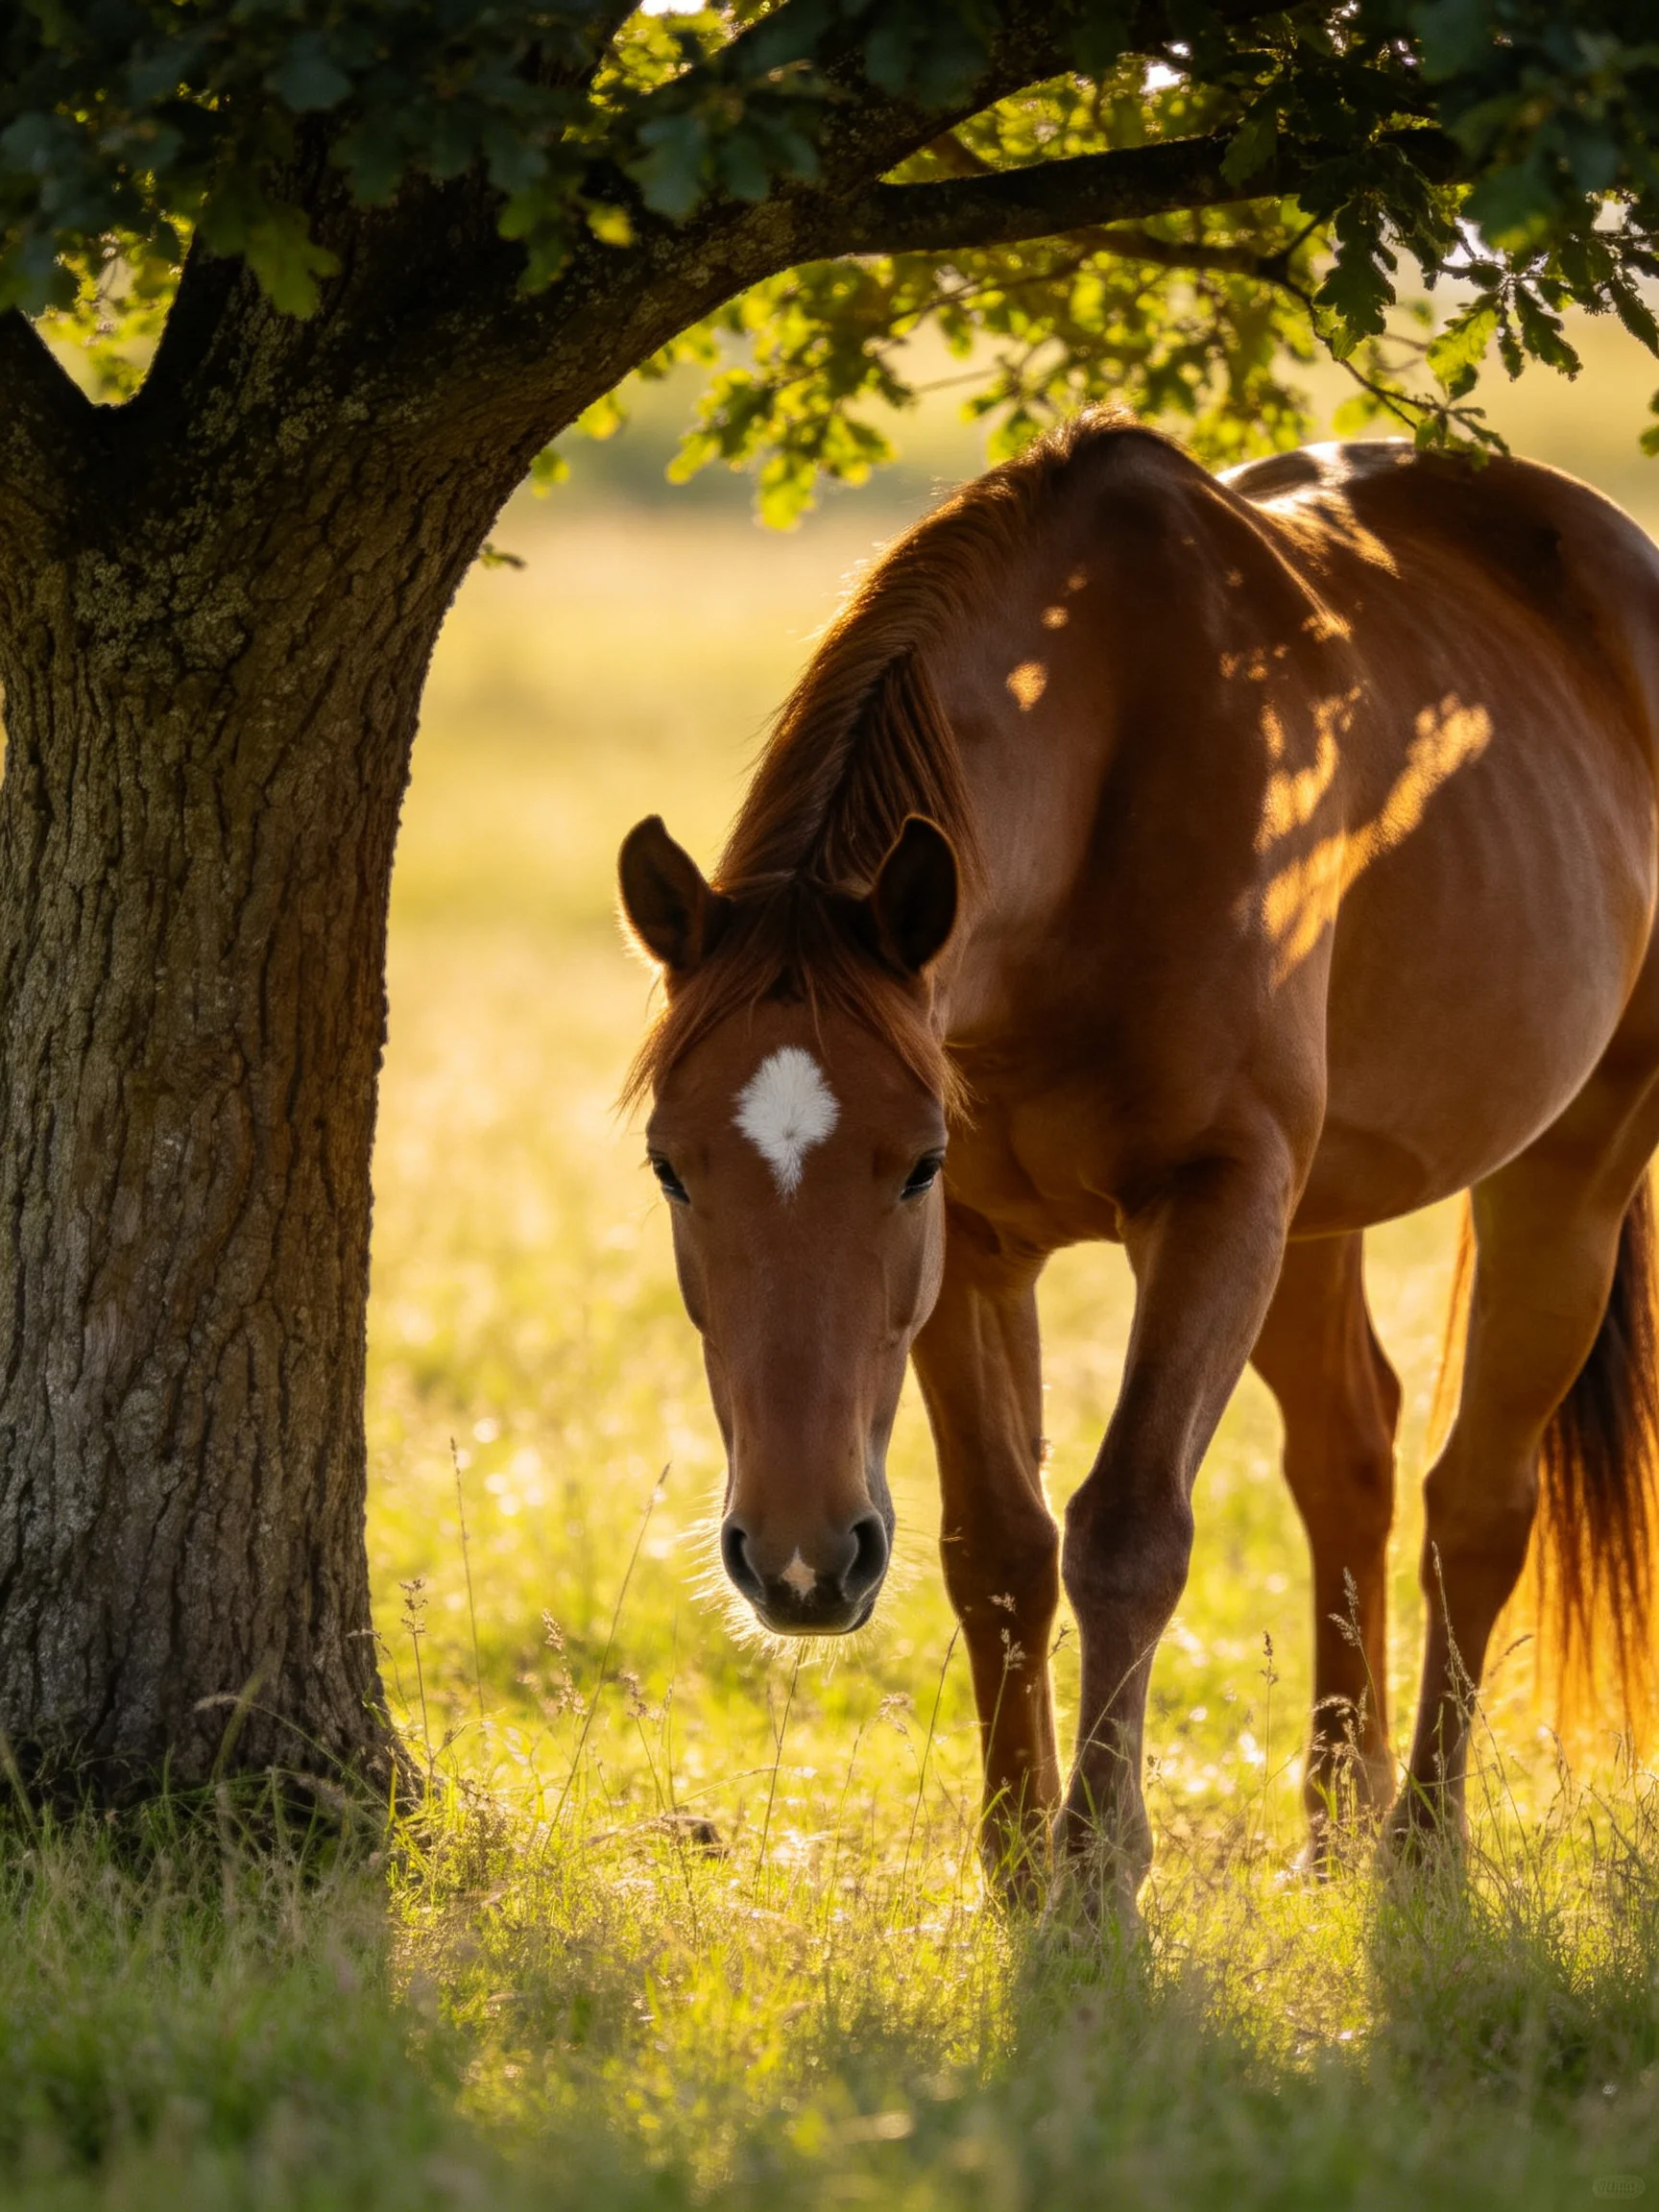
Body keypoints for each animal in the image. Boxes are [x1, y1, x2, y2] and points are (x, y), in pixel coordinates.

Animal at [616, 412, 1659, 1904]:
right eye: (672, 1167)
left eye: (911, 1165)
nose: (803, 1561)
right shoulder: (982, 1254)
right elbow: (998, 1545)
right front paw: (1014, 1864)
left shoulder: (1213, 1199)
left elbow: (1126, 1532)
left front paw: (1101, 1867)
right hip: (1315, 1218)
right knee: (1350, 1452)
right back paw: (1336, 1822)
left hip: (1565, 1172)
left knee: (1477, 1498)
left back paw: (1419, 1847)